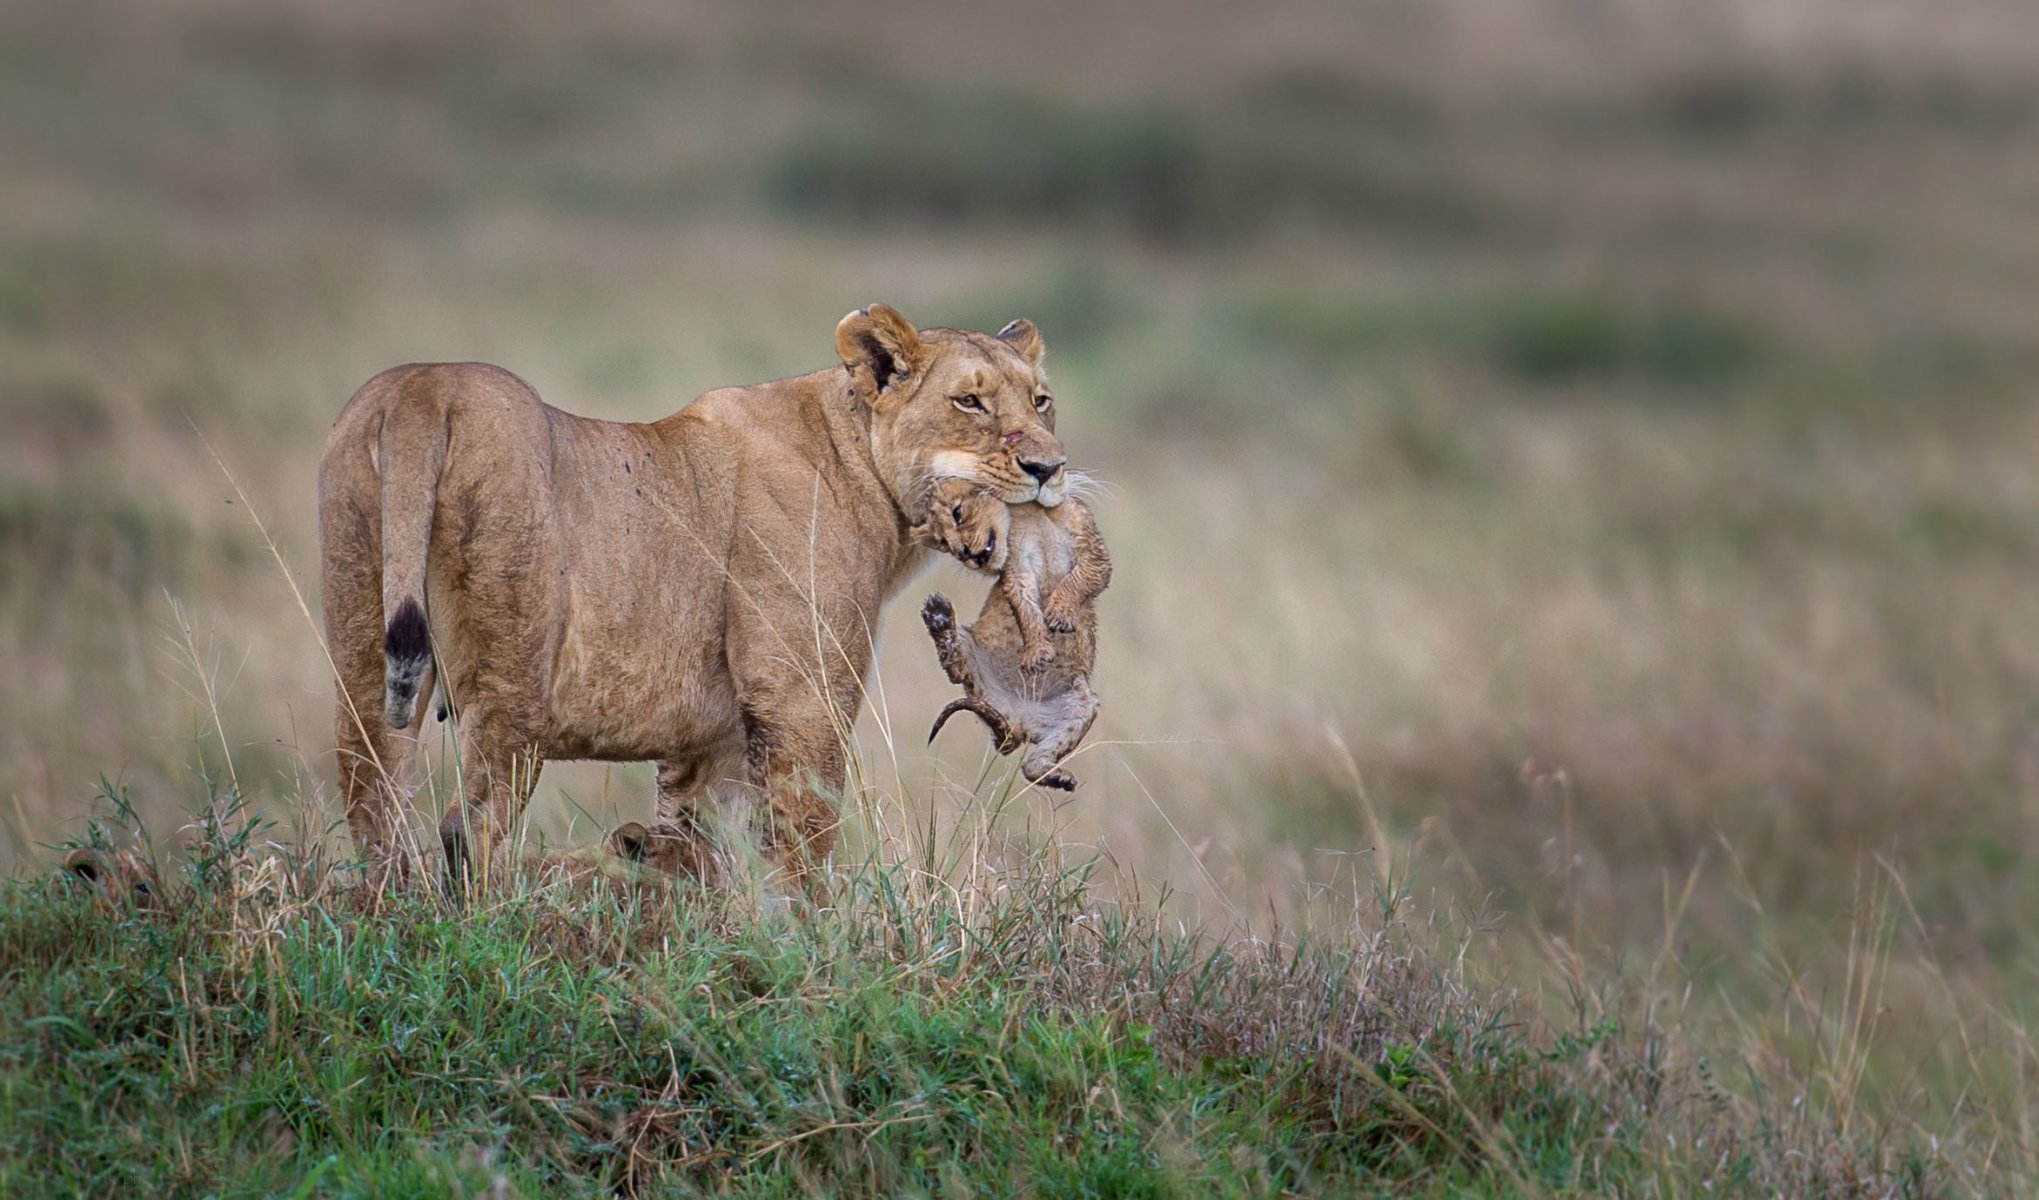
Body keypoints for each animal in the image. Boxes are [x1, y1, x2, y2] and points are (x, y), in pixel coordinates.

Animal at [318, 305, 1069, 888]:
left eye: (1041, 400)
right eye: (969, 401)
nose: (1050, 467)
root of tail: (424, 388)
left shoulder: (709, 739)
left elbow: (705, 849)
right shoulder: (801, 696)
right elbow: (803, 840)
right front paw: (813, 953)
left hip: (363, 642)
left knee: (373, 805)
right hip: (515, 671)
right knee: (467, 827)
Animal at [917, 477, 1110, 791]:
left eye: (959, 513)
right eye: (942, 541)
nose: (964, 553)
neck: (1035, 513)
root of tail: (1017, 722)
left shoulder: (1094, 551)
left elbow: (1078, 581)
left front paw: (1060, 613)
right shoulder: (1016, 566)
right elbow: (1026, 608)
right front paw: (1038, 653)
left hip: (1081, 705)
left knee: (1033, 765)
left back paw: (1057, 777)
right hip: (971, 656)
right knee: (955, 669)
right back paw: (939, 617)